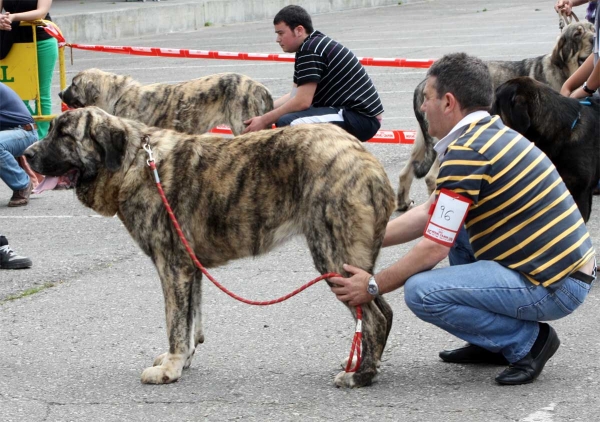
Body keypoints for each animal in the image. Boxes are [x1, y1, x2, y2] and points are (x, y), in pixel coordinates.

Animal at [25, 107, 396, 388]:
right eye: (52, 129)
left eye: (65, 135)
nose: (26, 155)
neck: (135, 163)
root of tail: (369, 163)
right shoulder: (190, 270)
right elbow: (190, 322)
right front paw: (182, 360)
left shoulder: (172, 268)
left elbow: (175, 323)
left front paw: (170, 369)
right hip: (352, 264)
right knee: (384, 309)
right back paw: (365, 365)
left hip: (333, 257)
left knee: (375, 317)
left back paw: (360, 376)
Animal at [394, 20, 596, 211]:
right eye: (577, 34)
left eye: (593, 28)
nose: (595, 39)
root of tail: (423, 84)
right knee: (431, 177)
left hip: (425, 138)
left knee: (407, 170)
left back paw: (403, 202)